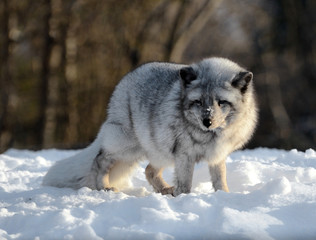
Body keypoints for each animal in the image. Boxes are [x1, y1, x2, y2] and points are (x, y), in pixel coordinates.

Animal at [42, 57, 260, 196]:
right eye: (198, 102)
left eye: (221, 102)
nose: (207, 121)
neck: (212, 135)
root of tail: (127, 78)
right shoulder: (185, 155)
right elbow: (185, 183)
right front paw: (185, 198)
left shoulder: (217, 155)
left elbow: (219, 180)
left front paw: (224, 196)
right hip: (128, 147)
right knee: (100, 158)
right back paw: (103, 187)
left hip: (160, 150)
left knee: (148, 170)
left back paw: (165, 190)